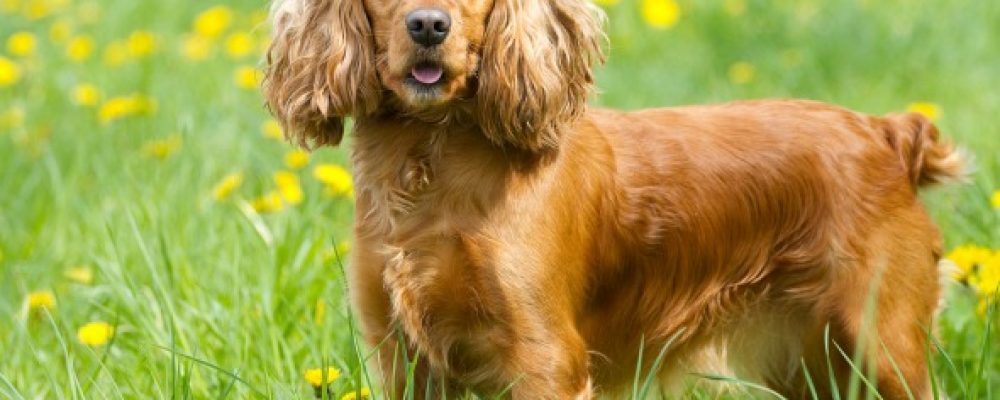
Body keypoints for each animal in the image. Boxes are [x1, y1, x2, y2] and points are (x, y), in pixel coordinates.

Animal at [263, 0, 963, 398]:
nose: (429, 25)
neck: (431, 164)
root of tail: (886, 132)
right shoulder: (403, 357)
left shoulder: (545, 358)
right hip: (812, 363)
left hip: (884, 343)